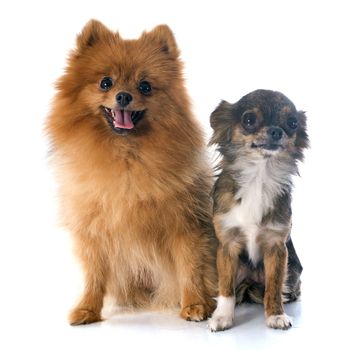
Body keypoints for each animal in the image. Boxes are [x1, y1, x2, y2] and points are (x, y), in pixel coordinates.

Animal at [46, 19, 216, 326]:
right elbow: (93, 275)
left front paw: (195, 304)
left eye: (145, 86)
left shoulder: (185, 225)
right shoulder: (93, 231)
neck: (126, 158)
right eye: (106, 82)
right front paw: (87, 309)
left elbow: (191, 267)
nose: (123, 96)